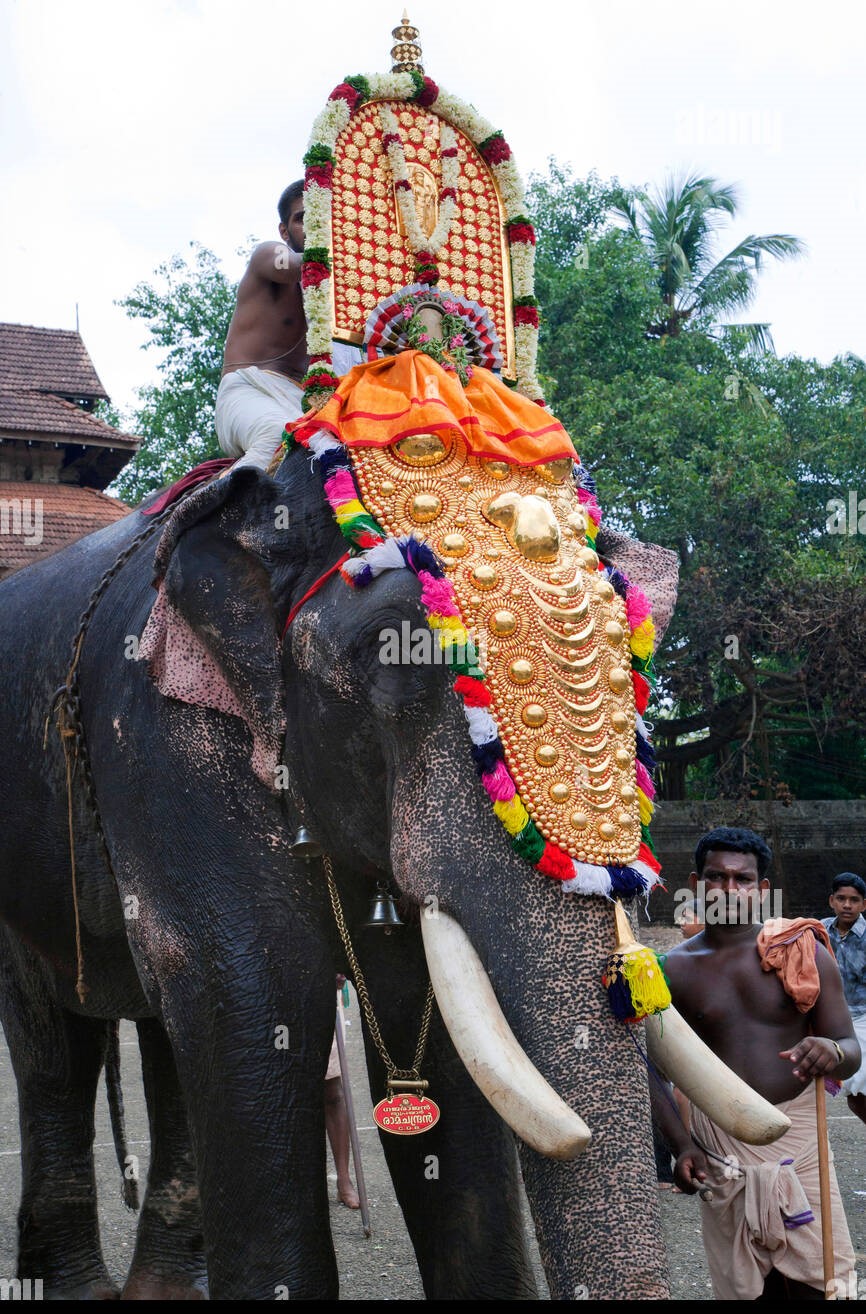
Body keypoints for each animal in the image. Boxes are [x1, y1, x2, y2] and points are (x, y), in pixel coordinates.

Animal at [0, 446, 693, 1298]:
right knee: (56, 1044)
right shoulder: (164, 742)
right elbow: (255, 999)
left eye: (638, 663)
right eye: (386, 658)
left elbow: (429, 1034)